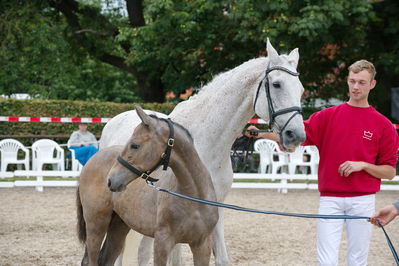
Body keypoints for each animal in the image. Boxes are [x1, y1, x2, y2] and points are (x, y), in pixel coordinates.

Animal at [101, 38, 306, 264]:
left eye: (301, 89)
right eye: (277, 84)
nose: (295, 135)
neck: (207, 145)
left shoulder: (214, 209)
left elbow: (221, 259)